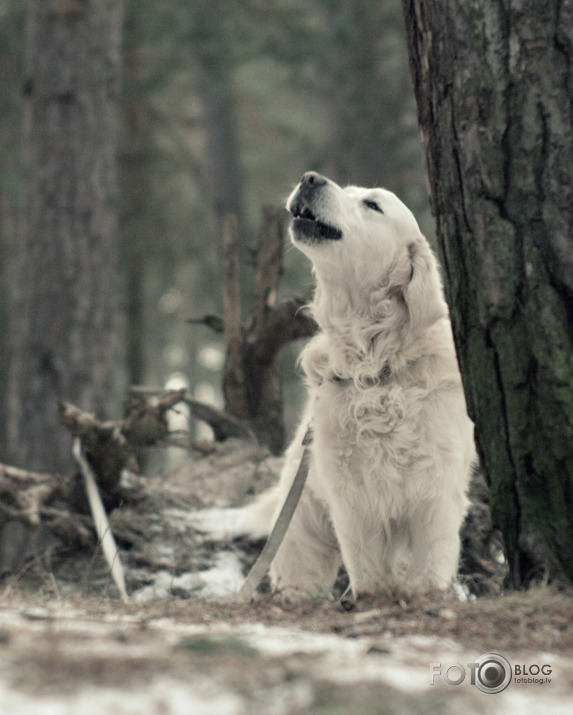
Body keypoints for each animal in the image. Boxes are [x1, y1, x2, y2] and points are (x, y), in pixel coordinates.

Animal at [197, 173, 474, 600]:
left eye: (373, 205)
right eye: (350, 190)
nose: (310, 178)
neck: (375, 366)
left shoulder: (434, 497)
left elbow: (431, 566)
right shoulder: (354, 501)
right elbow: (367, 571)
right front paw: (369, 601)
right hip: (303, 519)